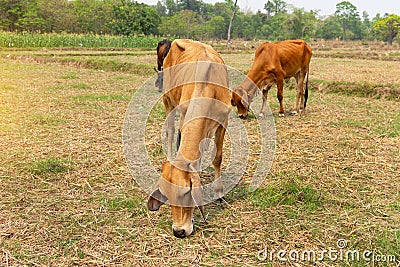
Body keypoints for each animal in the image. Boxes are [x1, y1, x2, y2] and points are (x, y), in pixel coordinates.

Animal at [146, 39, 231, 239]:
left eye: (186, 193)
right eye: (166, 195)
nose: (179, 231)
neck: (207, 88)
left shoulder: (222, 122)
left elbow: (217, 158)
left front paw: (220, 195)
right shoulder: (185, 117)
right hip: (168, 100)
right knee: (170, 132)